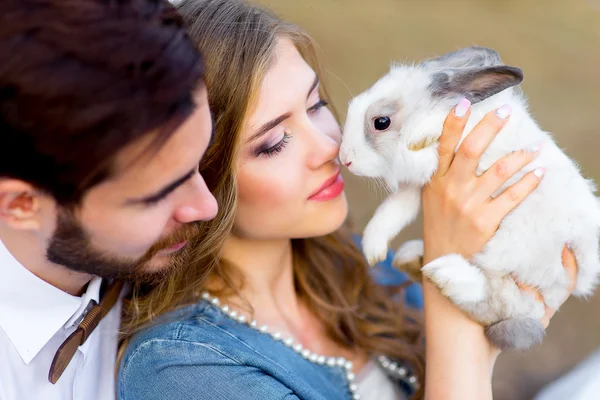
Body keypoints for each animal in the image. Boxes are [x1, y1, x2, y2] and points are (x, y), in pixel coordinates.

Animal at [342, 46, 600, 350]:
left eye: (381, 122)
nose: (345, 160)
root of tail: (583, 278)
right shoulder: (417, 187)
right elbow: (392, 212)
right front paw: (372, 250)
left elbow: (441, 123)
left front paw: (419, 136)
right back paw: (412, 259)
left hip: (514, 248)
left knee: (504, 302)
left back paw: (446, 273)